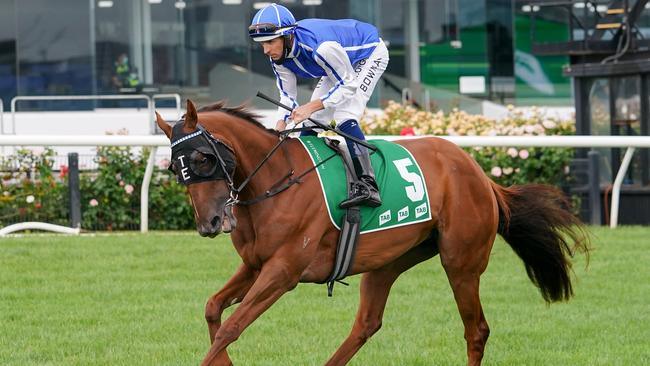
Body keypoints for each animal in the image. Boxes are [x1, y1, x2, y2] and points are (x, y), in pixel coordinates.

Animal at [153, 100, 588, 366]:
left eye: (203, 158)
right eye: (175, 168)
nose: (209, 223)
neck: (276, 181)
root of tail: (480, 173)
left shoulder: (283, 271)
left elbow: (232, 326)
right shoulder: (256, 265)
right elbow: (213, 309)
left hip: (461, 261)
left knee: (476, 329)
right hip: (389, 261)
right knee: (366, 324)